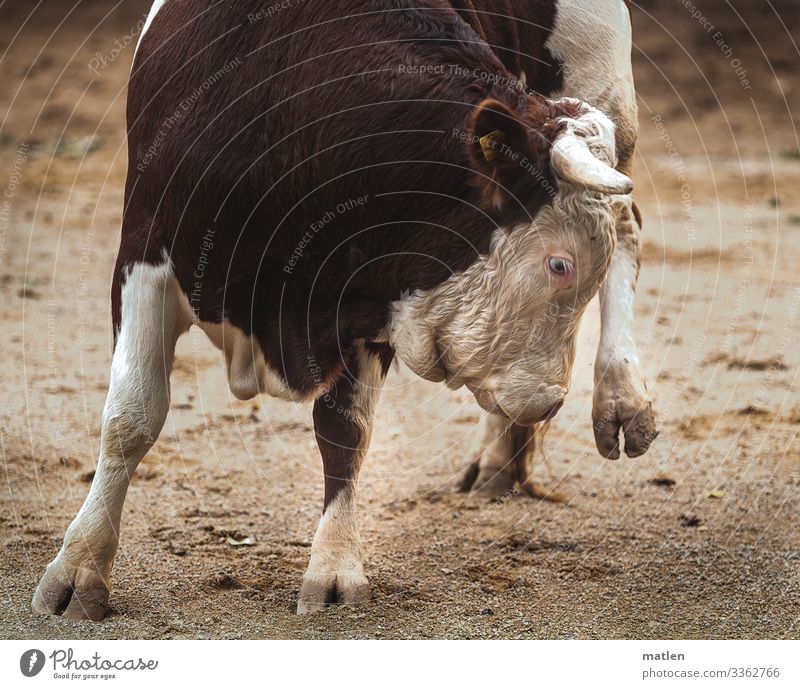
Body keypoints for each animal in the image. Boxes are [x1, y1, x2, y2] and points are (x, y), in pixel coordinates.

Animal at [32, 0, 656, 620]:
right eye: (559, 264)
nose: (550, 402)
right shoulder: (145, 253)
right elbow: (131, 415)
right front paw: (79, 567)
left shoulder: (375, 290)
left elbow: (345, 430)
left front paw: (333, 568)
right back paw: (502, 456)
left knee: (626, 224)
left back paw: (619, 398)